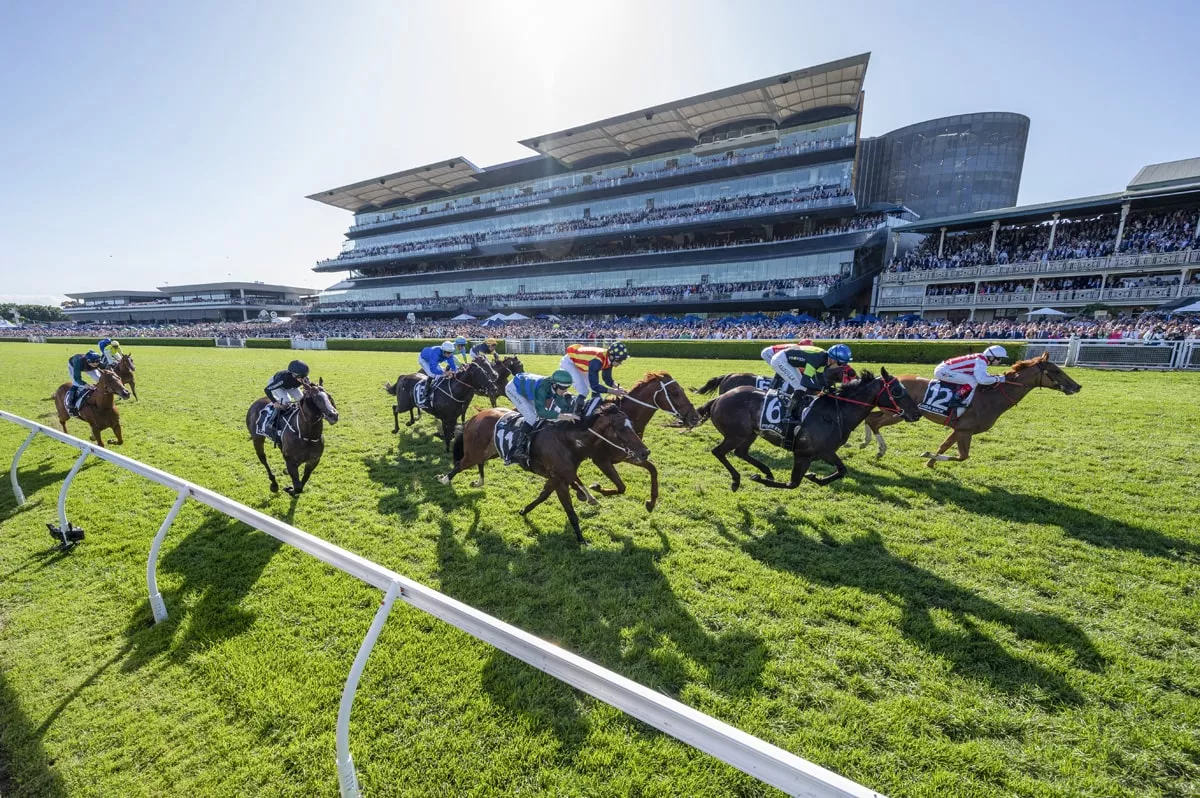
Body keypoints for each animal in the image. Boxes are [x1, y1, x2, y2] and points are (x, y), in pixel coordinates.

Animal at [439, 400, 648, 544]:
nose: (645, 452)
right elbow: (570, 511)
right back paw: (445, 480)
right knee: (460, 464)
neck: (567, 441)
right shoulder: (560, 479)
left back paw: (477, 481)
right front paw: (582, 540)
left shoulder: (557, 477)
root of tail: (474, 417)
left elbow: (543, 495)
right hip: (474, 452)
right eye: (621, 429)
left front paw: (524, 510)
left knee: (477, 463)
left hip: (493, 452)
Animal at [583, 372, 700, 511]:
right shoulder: (601, 460)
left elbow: (653, 469)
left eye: (682, 390)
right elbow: (621, 487)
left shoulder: (632, 455)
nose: (696, 417)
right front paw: (597, 488)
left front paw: (651, 502)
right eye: (676, 393)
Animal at [696, 369, 916, 492]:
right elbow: (793, 483)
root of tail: (718, 399)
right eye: (897, 391)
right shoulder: (805, 453)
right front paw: (760, 479)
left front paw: (815, 478)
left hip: (750, 433)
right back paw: (737, 480)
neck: (836, 413)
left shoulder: (822, 452)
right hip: (736, 434)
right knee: (719, 452)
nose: (916, 412)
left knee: (741, 452)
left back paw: (766, 471)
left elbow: (841, 470)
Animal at [859, 348, 1084, 468]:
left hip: (892, 412)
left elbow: (946, 447)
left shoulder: (960, 429)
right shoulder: (965, 430)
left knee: (870, 418)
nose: (1077, 386)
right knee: (874, 421)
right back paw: (879, 449)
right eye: (1056, 371)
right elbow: (962, 456)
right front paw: (927, 456)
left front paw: (930, 462)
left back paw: (868, 443)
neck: (992, 397)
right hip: (898, 414)